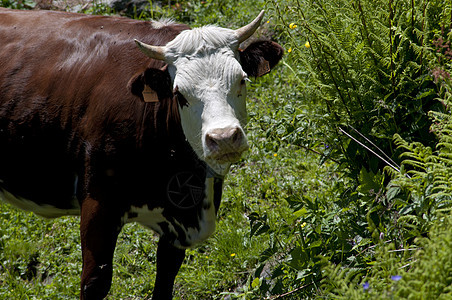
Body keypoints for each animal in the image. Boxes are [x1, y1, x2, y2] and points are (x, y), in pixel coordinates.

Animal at [0, 7, 282, 300]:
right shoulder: (97, 203)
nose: (224, 138)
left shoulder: (175, 232)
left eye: (242, 80)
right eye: (179, 94)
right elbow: (94, 282)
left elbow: (165, 281)